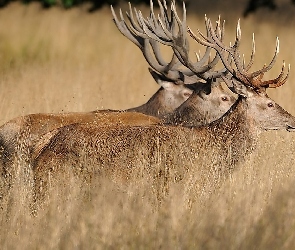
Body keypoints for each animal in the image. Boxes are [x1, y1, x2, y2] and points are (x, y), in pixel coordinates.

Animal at [30, 0, 295, 201]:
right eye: (270, 103)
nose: (292, 120)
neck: (214, 148)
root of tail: (40, 151)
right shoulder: (179, 187)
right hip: (56, 187)